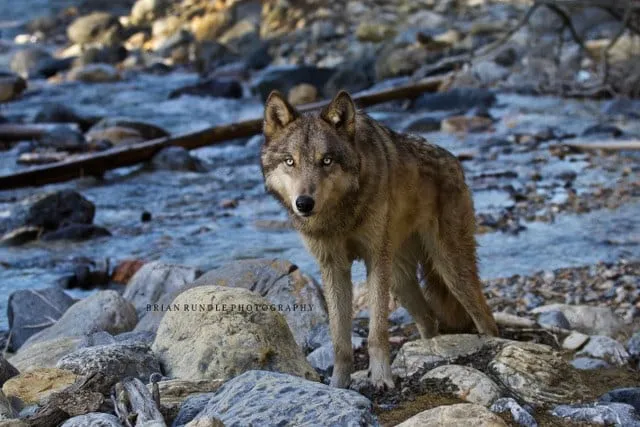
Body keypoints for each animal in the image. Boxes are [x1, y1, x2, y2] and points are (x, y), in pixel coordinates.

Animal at [260, 90, 498, 390]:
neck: (341, 216)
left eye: (326, 160)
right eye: (290, 161)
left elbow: (377, 333)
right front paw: (338, 386)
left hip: (450, 270)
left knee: (485, 316)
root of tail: (454, 161)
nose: (304, 203)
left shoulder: (375, 260)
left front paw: (382, 378)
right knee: (429, 320)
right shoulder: (333, 267)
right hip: (399, 281)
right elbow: (340, 340)